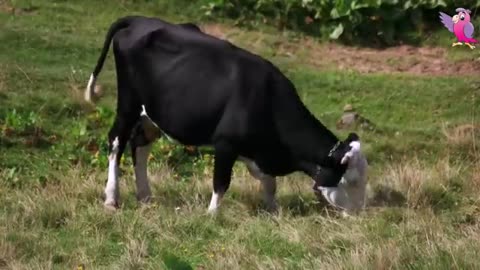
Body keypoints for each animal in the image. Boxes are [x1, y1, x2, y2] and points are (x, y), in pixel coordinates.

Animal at [85, 15, 364, 213]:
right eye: (350, 181)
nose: (361, 213)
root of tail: (139, 19)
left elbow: (270, 183)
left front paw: (273, 210)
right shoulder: (226, 143)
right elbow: (221, 183)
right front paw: (212, 214)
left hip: (152, 114)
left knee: (140, 147)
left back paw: (145, 196)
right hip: (128, 104)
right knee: (117, 143)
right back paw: (111, 198)